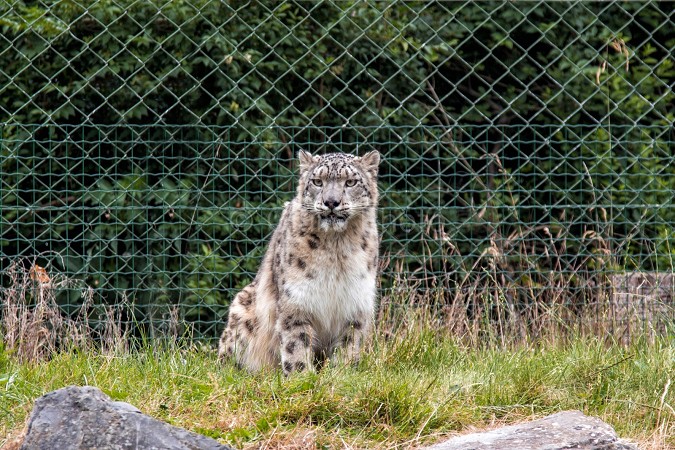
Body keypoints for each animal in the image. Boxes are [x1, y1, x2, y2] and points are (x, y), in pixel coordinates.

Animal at [218, 150, 381, 375]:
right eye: (318, 181)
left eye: (350, 182)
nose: (331, 202)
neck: (336, 248)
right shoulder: (296, 302)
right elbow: (296, 345)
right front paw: (301, 376)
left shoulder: (355, 304)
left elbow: (349, 345)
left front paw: (342, 373)